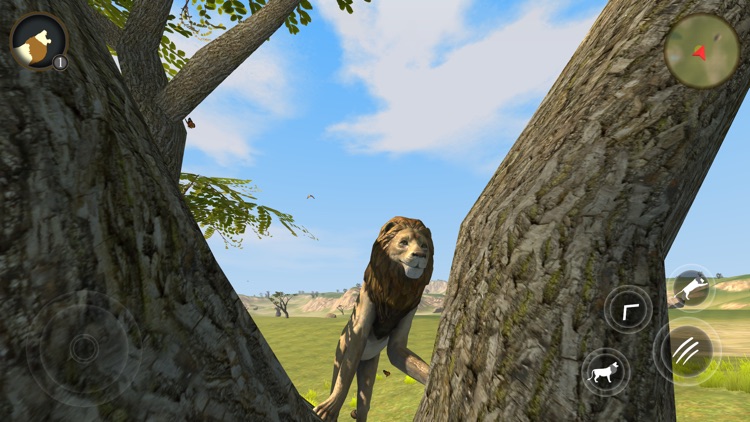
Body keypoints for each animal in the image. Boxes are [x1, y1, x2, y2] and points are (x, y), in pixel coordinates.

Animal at [313, 216, 434, 421]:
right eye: (404, 242)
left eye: (424, 246)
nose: (420, 255)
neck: (398, 283)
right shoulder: (365, 305)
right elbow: (344, 379)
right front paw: (330, 407)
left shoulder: (411, 309)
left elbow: (397, 350)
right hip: (341, 351)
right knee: (339, 377)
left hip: (369, 364)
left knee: (364, 404)